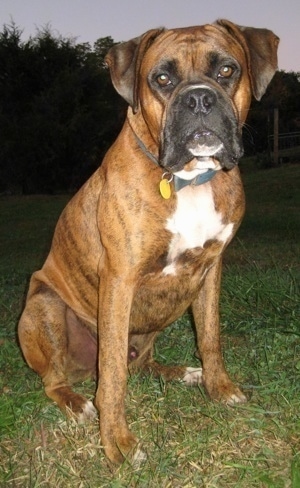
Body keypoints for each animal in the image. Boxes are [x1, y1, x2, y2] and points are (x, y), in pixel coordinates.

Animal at [17, 20, 278, 466]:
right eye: (162, 79)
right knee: (58, 379)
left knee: (139, 364)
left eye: (227, 70)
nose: (199, 98)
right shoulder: (119, 280)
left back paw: (183, 373)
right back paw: (76, 401)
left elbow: (210, 337)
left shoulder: (211, 269)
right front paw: (117, 441)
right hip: (43, 307)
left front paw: (219, 387)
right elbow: (112, 376)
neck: (188, 179)